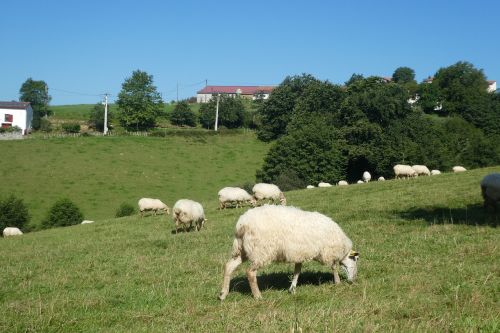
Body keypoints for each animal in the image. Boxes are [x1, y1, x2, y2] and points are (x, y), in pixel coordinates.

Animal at [217, 204, 358, 300]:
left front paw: (292, 289)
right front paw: (337, 282)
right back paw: (258, 296)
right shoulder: (329, 251)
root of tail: (242, 224)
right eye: (355, 260)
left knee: (229, 266)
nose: (352, 281)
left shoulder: (299, 253)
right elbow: (334, 267)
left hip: (242, 250)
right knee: (250, 272)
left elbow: (297, 271)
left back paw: (223, 294)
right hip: (261, 251)